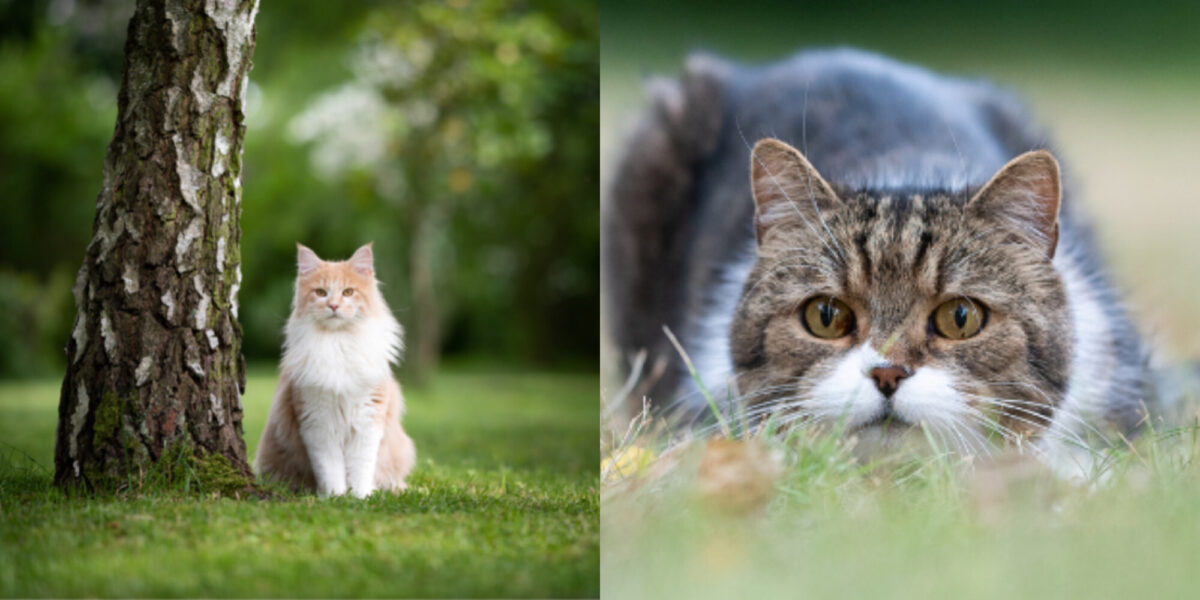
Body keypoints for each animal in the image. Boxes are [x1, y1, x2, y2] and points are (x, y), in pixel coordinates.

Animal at [255, 241, 415, 494]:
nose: (333, 305)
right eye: (321, 292)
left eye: (348, 292)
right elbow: (331, 471)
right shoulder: (318, 425)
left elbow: (360, 471)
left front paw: (360, 497)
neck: (338, 342)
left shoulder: (367, 422)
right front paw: (336, 497)